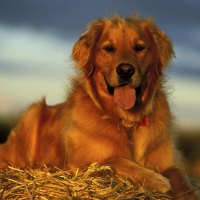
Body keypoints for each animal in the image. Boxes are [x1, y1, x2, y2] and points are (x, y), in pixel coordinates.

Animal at [0, 15, 199, 198]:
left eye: (139, 47)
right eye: (109, 48)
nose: (125, 70)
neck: (126, 121)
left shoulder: (170, 162)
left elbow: (182, 177)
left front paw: (189, 193)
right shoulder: (81, 164)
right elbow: (116, 160)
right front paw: (157, 180)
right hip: (32, 114)